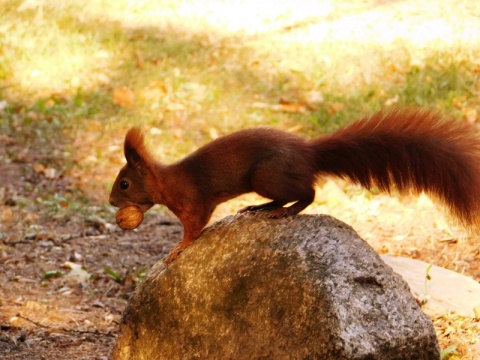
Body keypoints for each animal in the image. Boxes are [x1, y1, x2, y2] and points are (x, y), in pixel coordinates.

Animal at [108, 108, 480, 262]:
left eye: (124, 183)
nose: (112, 202)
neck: (167, 180)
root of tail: (308, 153)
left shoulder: (194, 202)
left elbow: (194, 227)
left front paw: (178, 249)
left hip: (267, 175)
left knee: (308, 193)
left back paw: (284, 211)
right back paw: (260, 207)